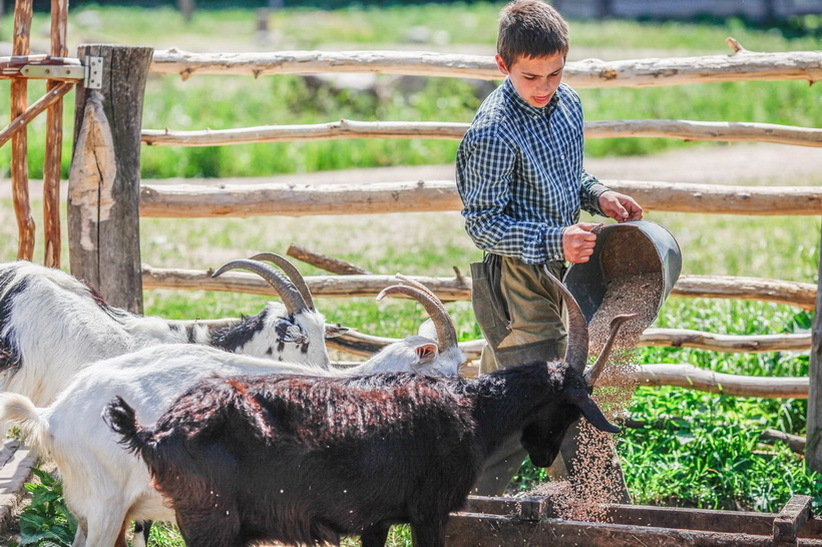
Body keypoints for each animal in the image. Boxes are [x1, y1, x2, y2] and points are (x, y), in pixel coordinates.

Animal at [106, 274, 636, 547]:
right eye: (571, 406)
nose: (545, 457)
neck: (469, 409)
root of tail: (155, 431)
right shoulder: (428, 511)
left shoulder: (375, 519)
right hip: (207, 520)